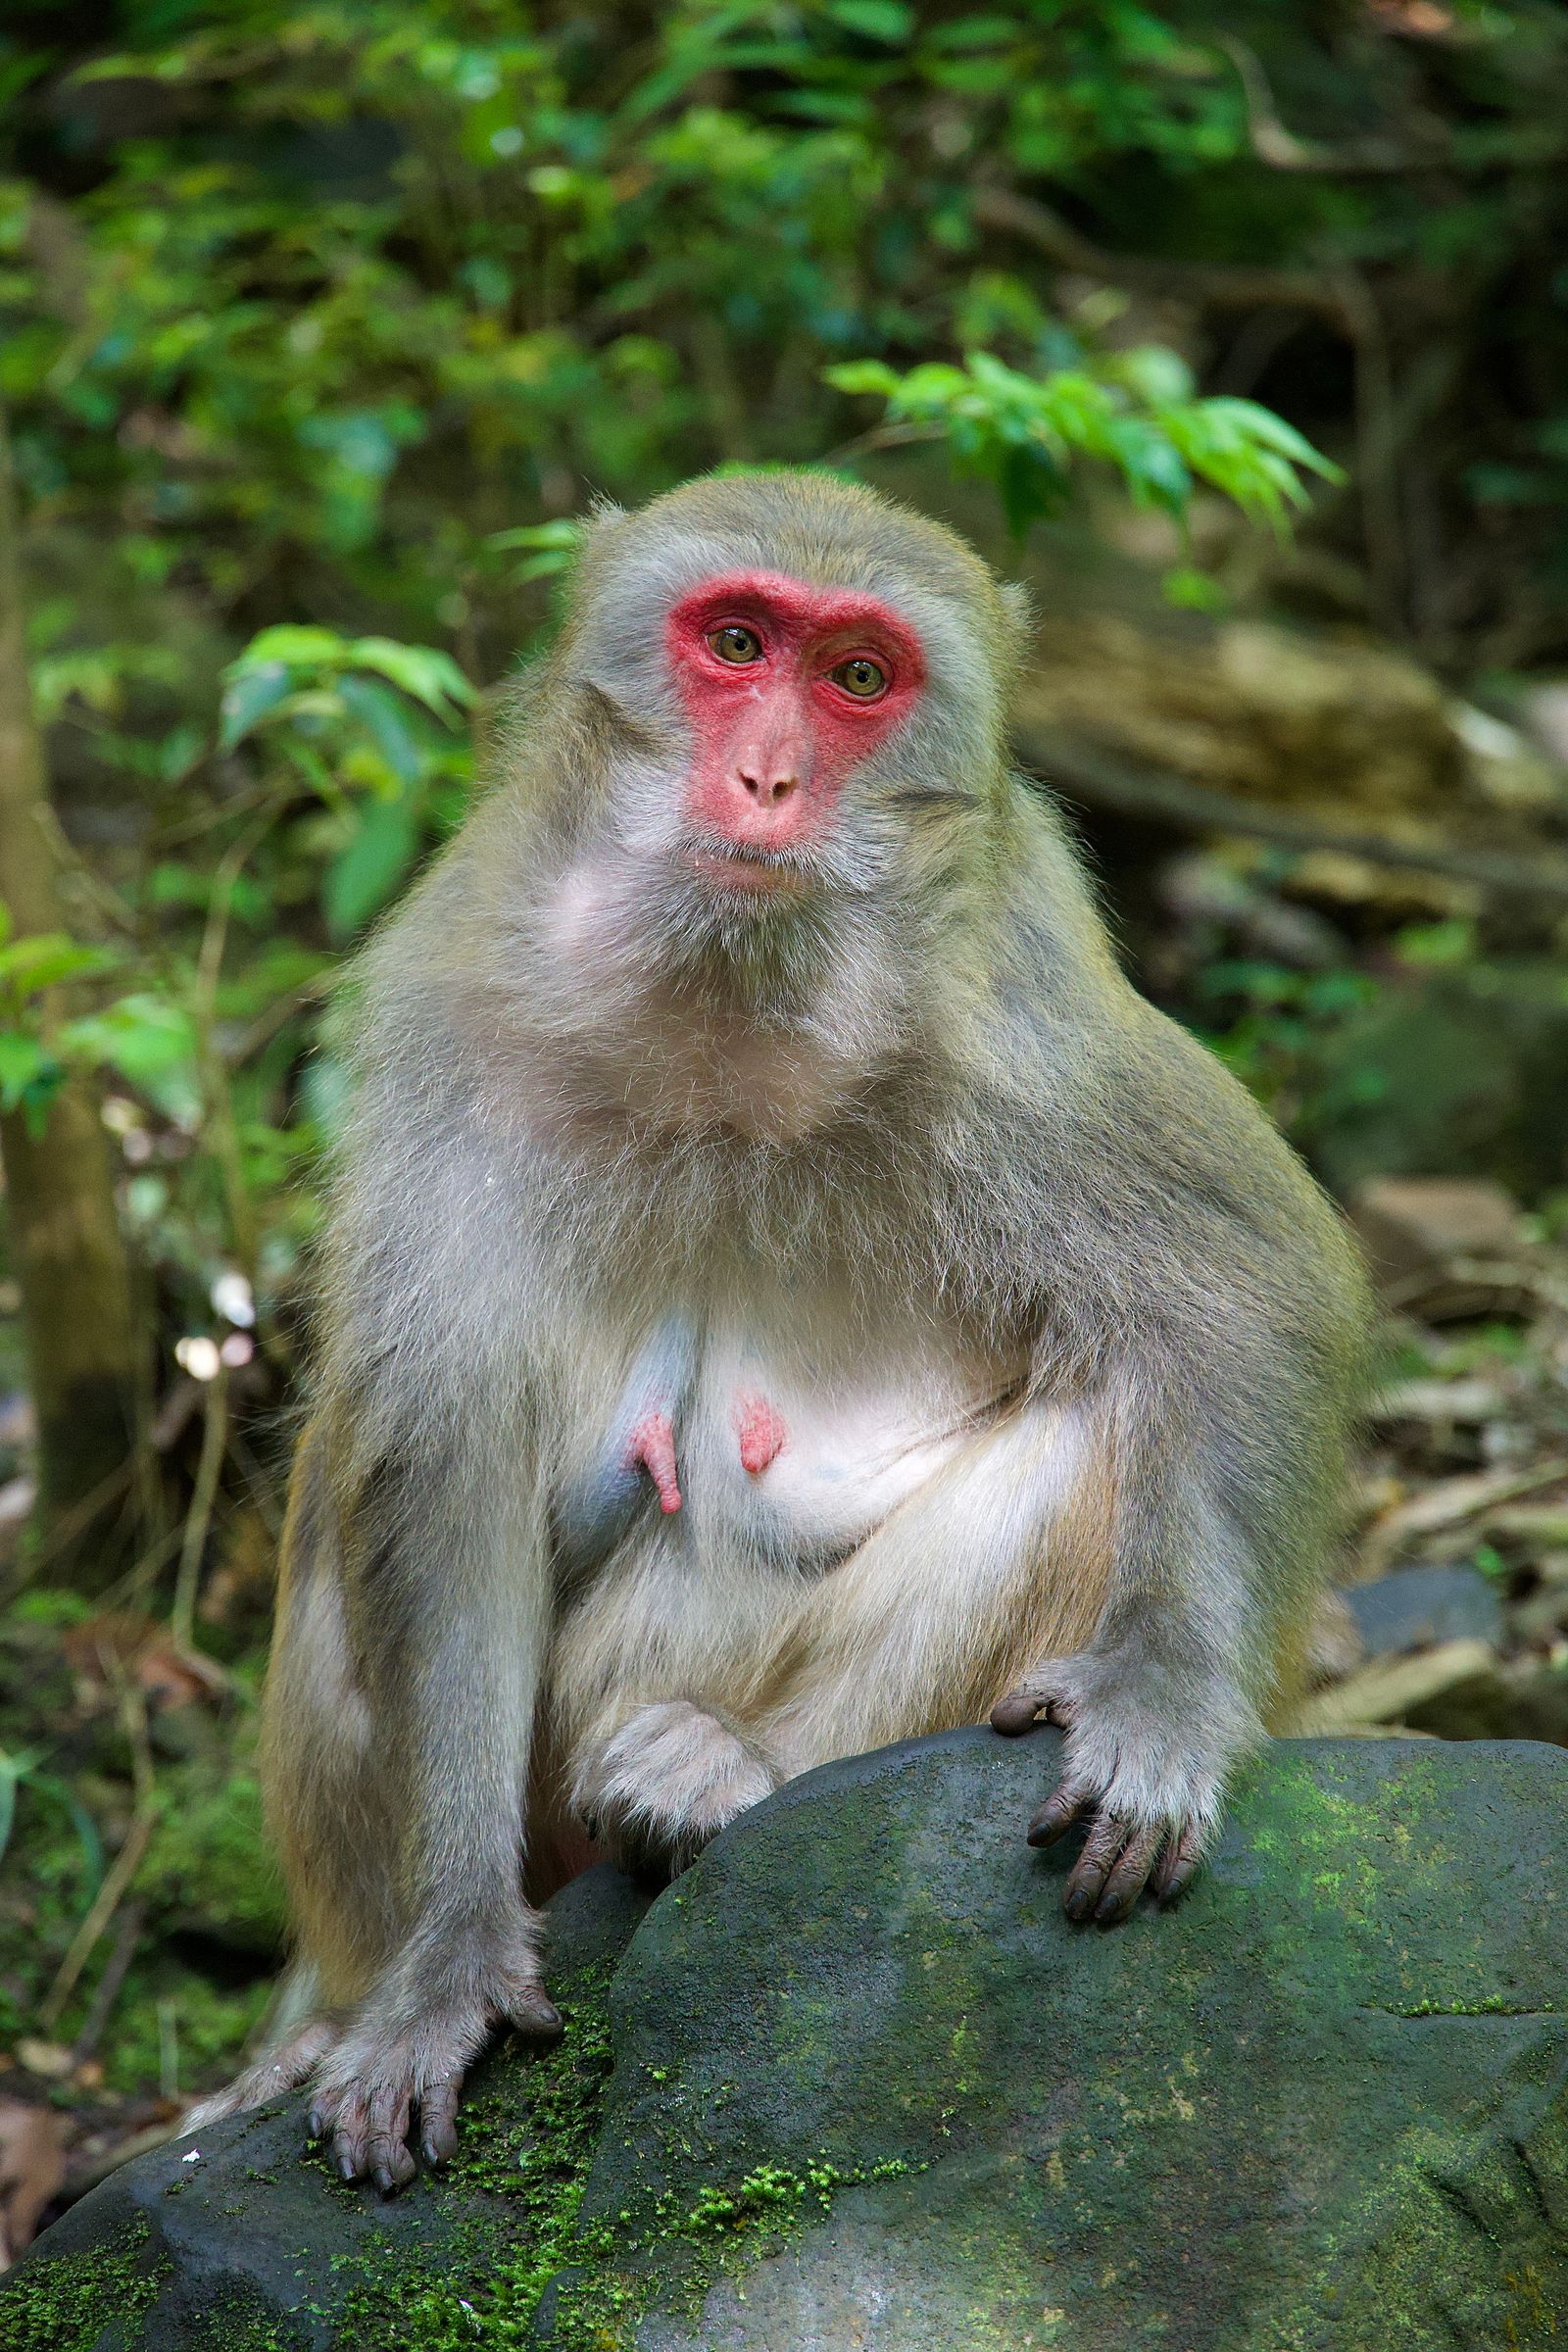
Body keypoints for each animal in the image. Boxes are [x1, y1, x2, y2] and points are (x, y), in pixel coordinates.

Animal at [186, 470, 1367, 2192]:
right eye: (736, 643)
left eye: (859, 677)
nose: (769, 780)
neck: (726, 1019)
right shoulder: (450, 1010)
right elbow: (442, 1460)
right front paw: (446, 1960)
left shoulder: (1026, 1017)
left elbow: (1244, 1284)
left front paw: (1162, 1694)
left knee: (1099, 1425)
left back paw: (721, 1775)